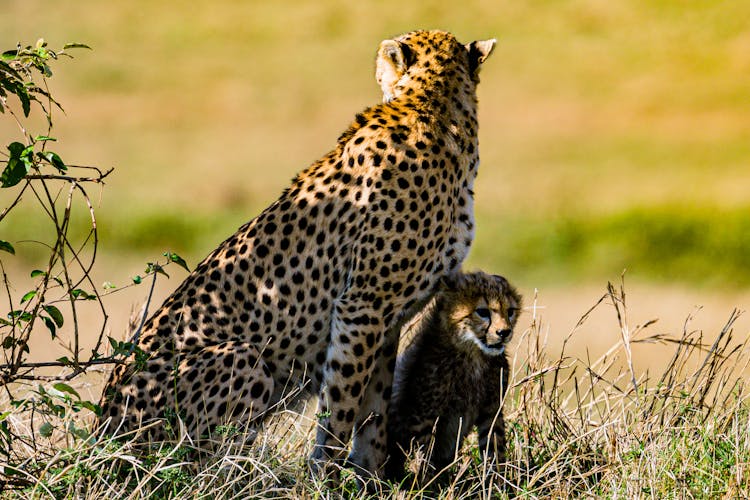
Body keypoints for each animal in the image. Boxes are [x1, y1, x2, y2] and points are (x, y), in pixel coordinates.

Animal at [100, 29, 500, 474]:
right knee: (197, 466)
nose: (376, 66)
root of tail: (101, 431)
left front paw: (369, 476)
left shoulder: (386, 316)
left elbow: (373, 407)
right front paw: (326, 475)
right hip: (244, 359)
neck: (436, 108)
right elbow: (341, 403)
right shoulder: (361, 307)